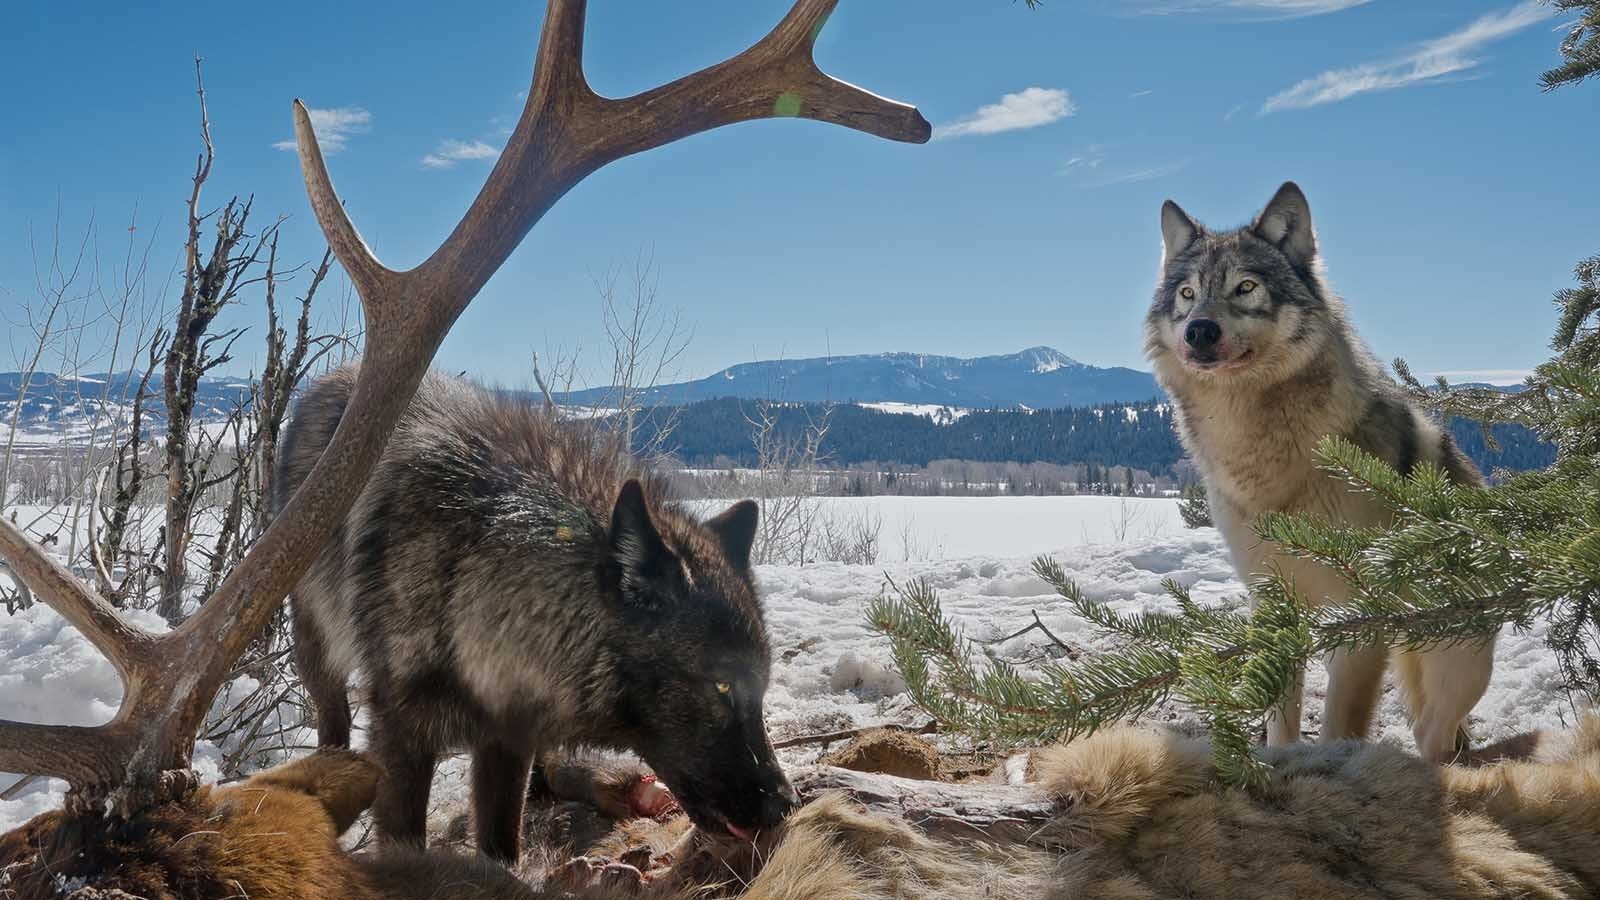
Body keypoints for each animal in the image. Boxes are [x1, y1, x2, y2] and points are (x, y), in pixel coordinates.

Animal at [276, 365, 796, 862]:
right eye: (722, 687)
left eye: (760, 688)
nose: (786, 804)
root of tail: (334, 376)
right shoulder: (401, 737)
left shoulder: (507, 739)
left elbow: (502, 847)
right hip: (317, 652)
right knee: (332, 717)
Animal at [1144, 181, 1494, 762]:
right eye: (1188, 294)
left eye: (1245, 287)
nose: (1198, 331)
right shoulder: (1272, 602)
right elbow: (1279, 721)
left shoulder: (1361, 615)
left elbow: (1341, 726)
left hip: (1463, 661)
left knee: (1433, 733)